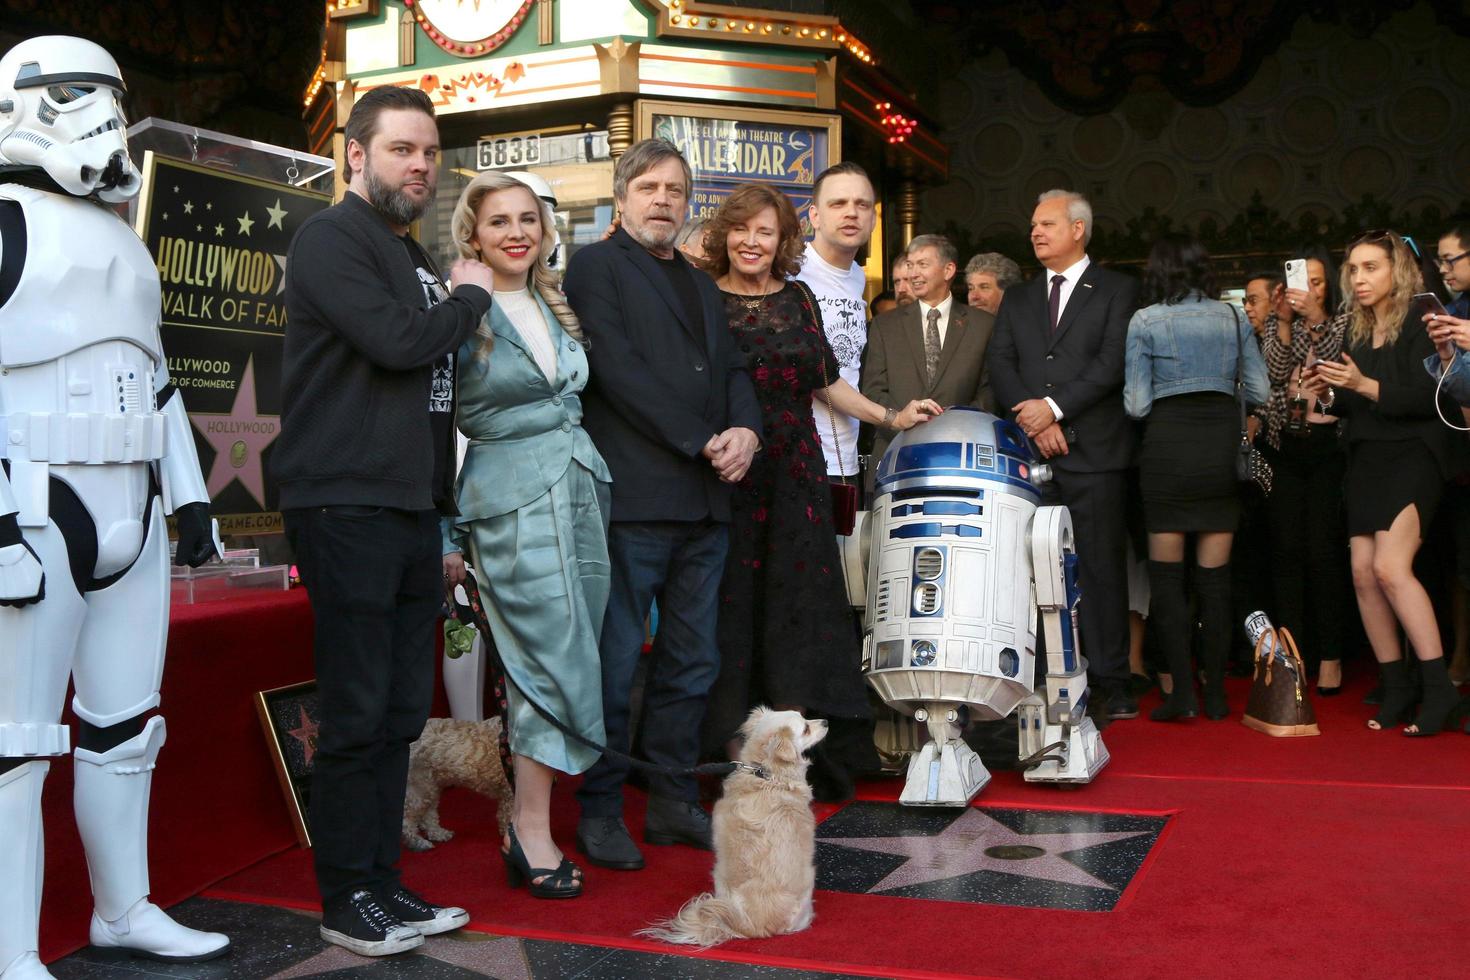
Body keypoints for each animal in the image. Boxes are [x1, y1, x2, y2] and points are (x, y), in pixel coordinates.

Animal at [402, 717, 517, 852]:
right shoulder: (510, 796)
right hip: (418, 788)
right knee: (407, 819)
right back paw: (417, 842)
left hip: (430, 786)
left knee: (428, 814)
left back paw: (438, 833)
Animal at [643, 708, 829, 946]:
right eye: (805, 728)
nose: (825, 721)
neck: (765, 774)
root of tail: (752, 926)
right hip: (807, 881)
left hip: (719, 876)